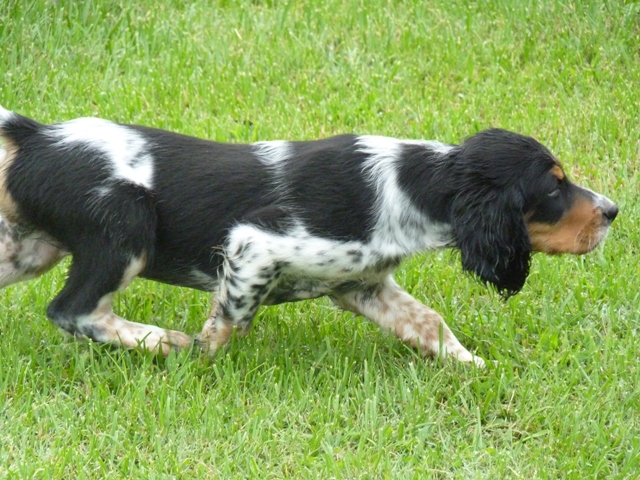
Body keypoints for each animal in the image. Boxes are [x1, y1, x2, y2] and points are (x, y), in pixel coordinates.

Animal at [0, 106, 616, 368]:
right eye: (555, 186)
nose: (612, 210)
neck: (411, 183)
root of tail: (38, 137)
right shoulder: (256, 244)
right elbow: (231, 320)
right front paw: (198, 361)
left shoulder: (362, 283)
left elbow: (428, 321)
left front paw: (473, 367)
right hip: (126, 222)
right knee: (74, 308)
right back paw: (156, 340)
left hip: (27, 248)